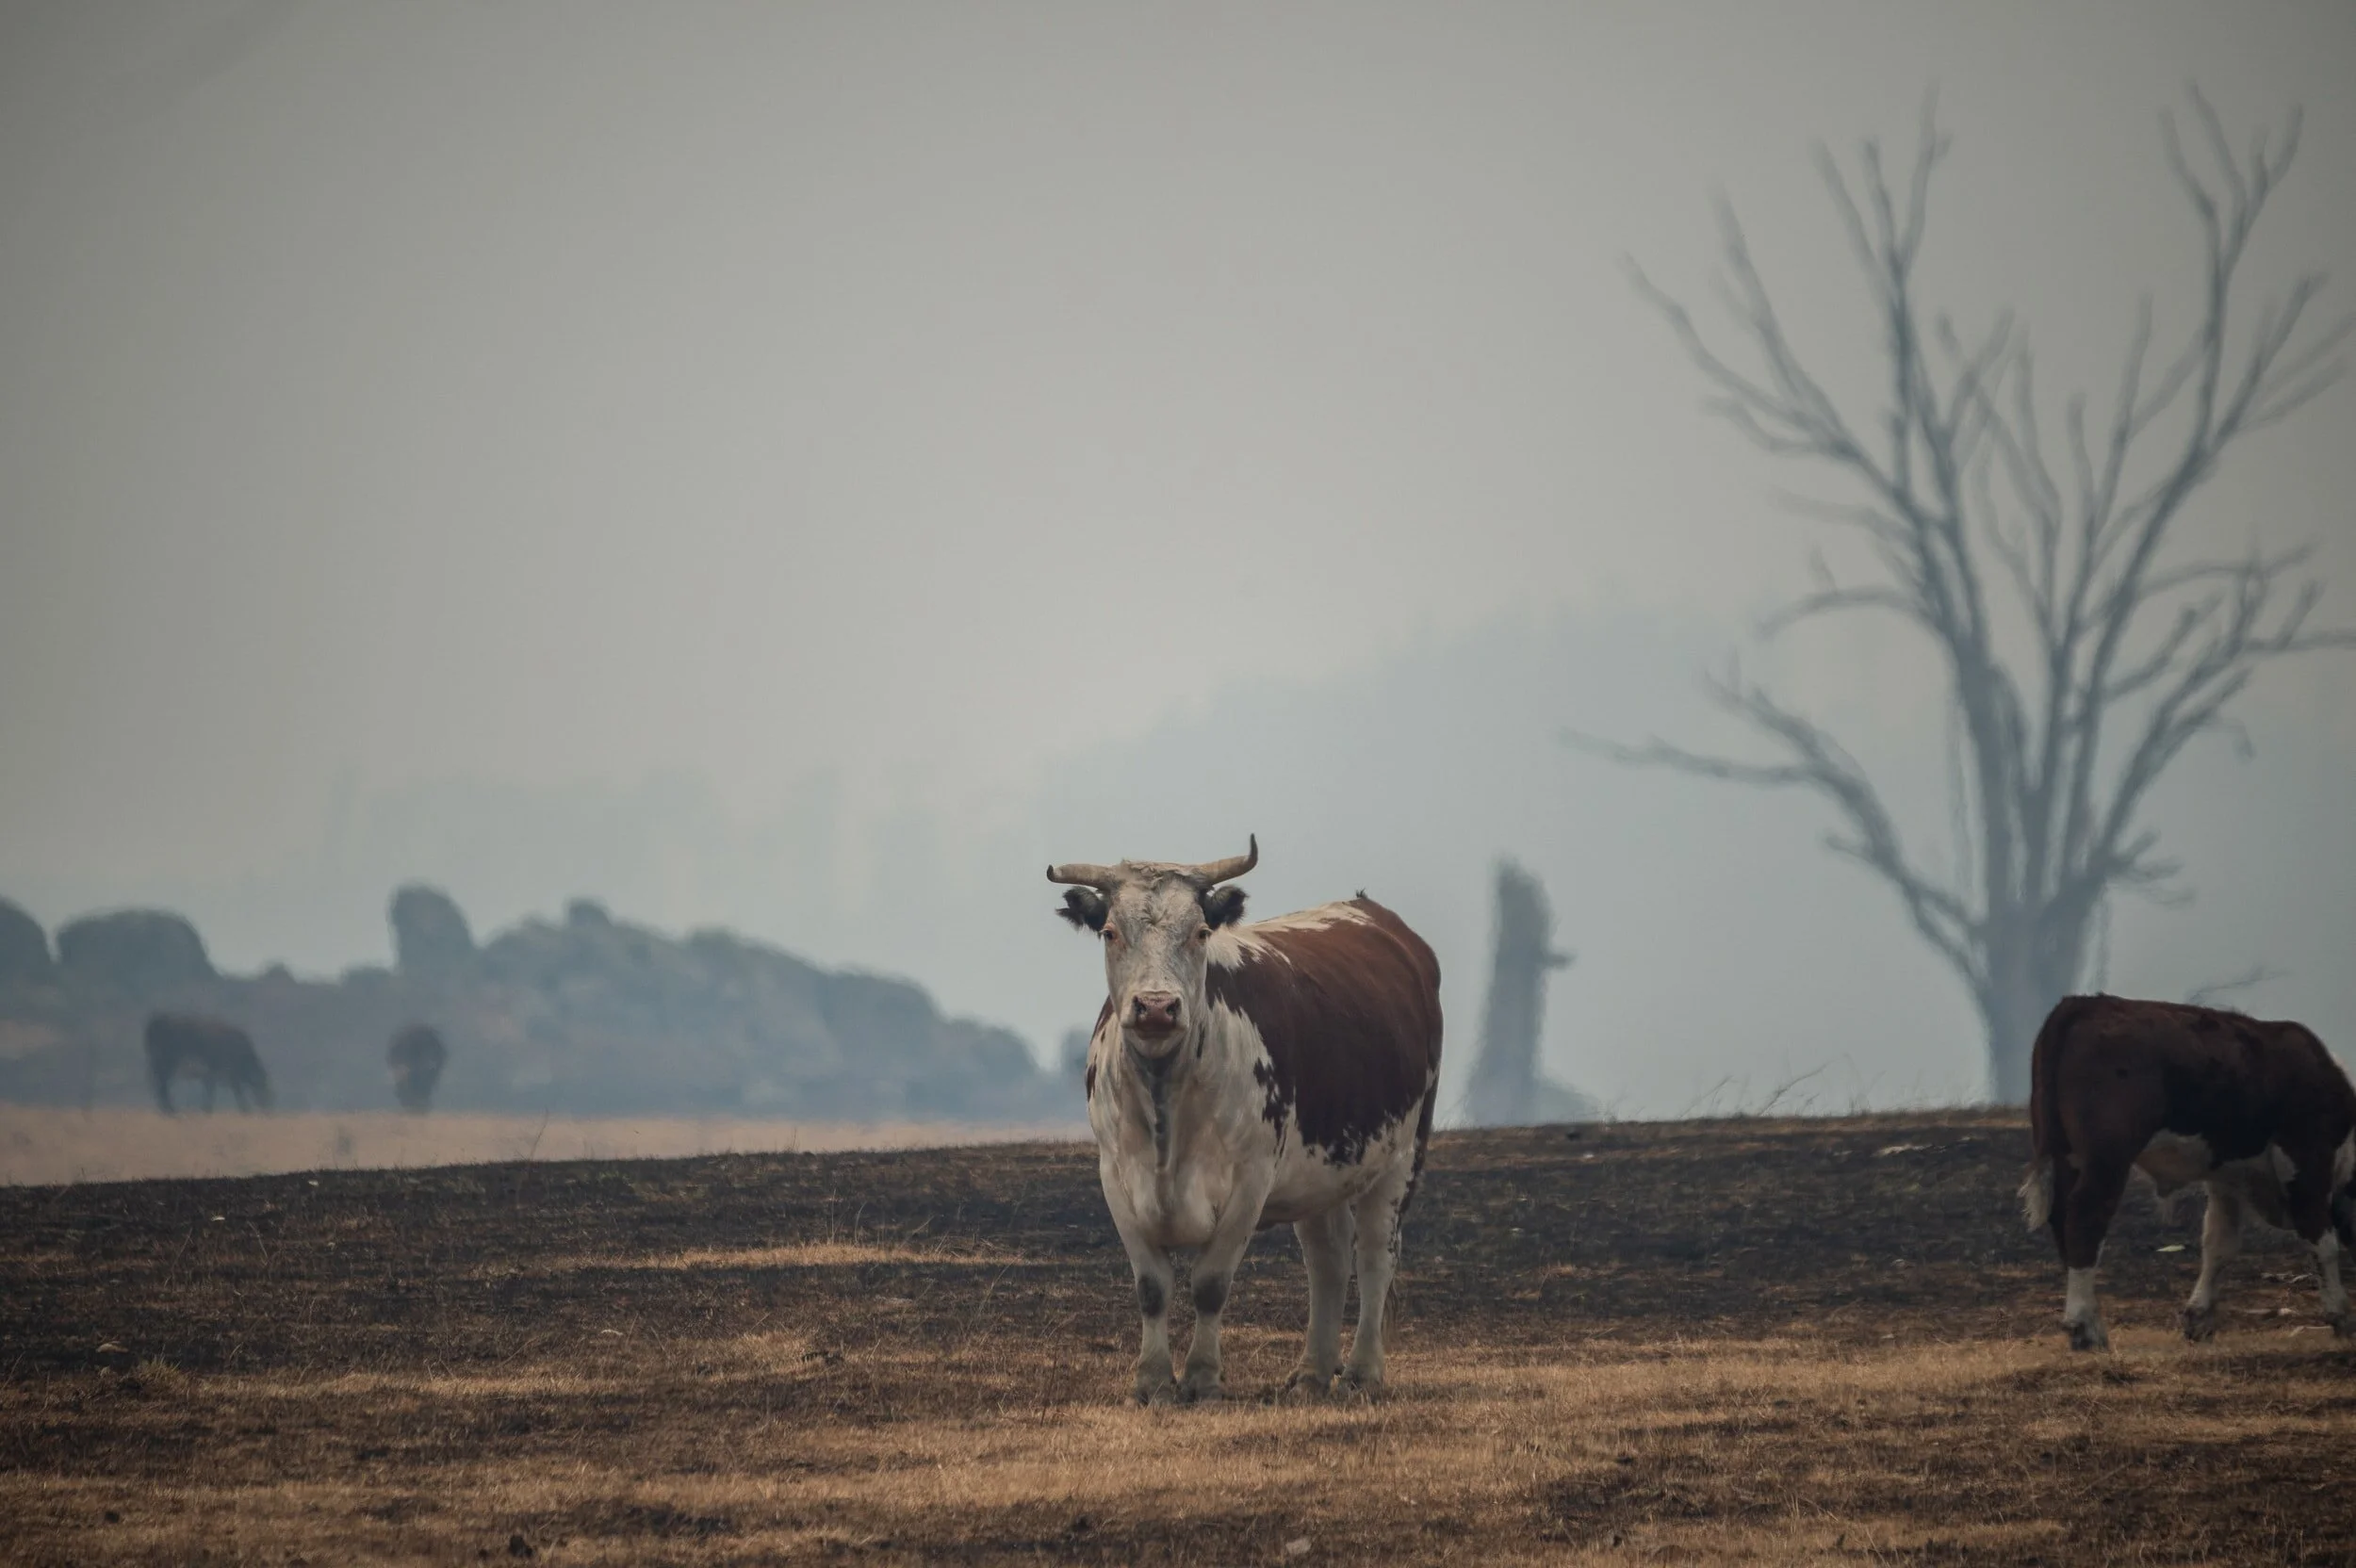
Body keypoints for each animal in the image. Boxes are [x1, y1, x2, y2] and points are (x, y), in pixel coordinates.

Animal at [145, 1012, 273, 1114]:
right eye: (265, 1089)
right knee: (161, 1086)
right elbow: (233, 1092)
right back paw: (170, 1110)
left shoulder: (214, 1075)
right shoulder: (225, 1073)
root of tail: (158, 1020)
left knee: (159, 1085)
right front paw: (245, 1110)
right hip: (168, 1063)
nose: (268, 1110)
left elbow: (211, 1090)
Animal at [1048, 837, 1442, 1405]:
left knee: (1374, 1258)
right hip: (1320, 1173)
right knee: (1327, 1262)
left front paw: (1202, 1378)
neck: (1166, 1106)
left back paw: (1362, 1373)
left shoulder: (1249, 1183)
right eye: (1110, 932)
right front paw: (1152, 1381)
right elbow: (1151, 1288)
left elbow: (1210, 1285)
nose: (1157, 1007)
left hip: (1401, 1156)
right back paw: (1311, 1374)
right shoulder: (1116, 1178)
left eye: (1200, 932)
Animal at [2020, 994, 2356, 1350]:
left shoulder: (2227, 1179)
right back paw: (2086, 1327)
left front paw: (2199, 1317)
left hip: (2066, 1154)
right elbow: (2323, 1243)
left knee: (2062, 1219)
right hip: (2107, 1159)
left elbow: (2219, 1245)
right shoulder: (2308, 1161)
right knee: (2085, 1219)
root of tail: (2085, 1003)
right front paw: (2340, 1314)